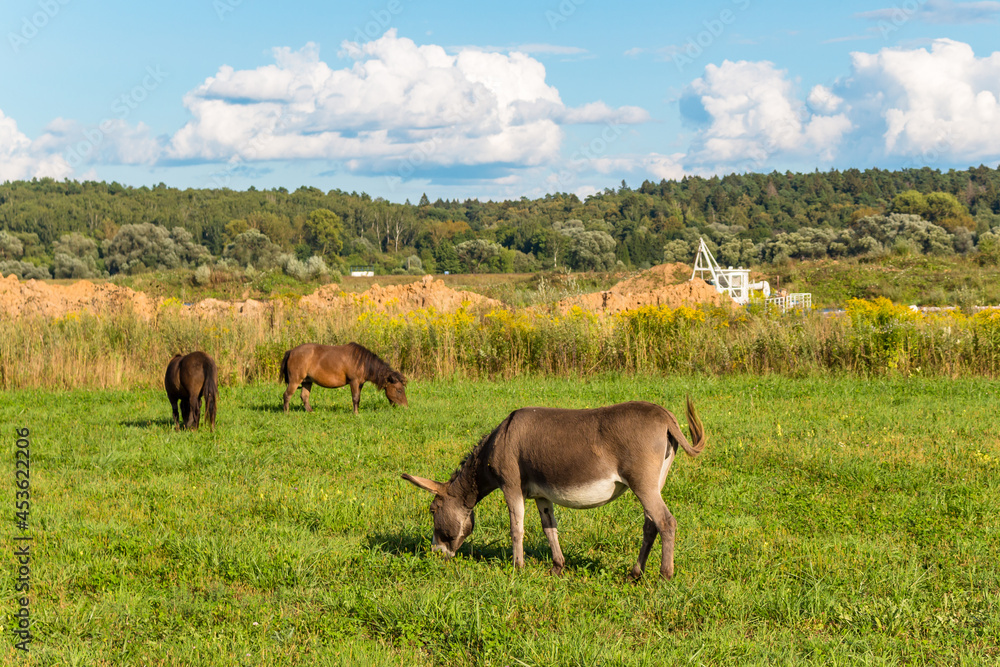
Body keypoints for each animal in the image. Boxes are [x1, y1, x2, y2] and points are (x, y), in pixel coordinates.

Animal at [403, 397, 706, 579]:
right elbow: (549, 528)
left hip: (642, 483)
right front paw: (557, 567)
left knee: (665, 521)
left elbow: (516, 528)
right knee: (650, 524)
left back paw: (665, 575)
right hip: (655, 482)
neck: (497, 442)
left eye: (433, 510)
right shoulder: (541, 495)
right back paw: (635, 573)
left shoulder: (510, 486)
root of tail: (665, 417)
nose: (436, 554)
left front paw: (518, 567)